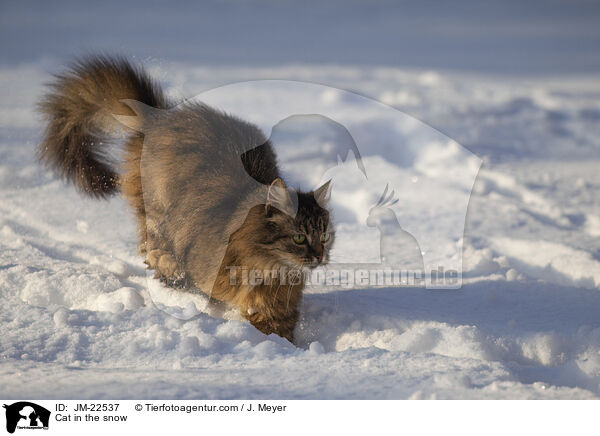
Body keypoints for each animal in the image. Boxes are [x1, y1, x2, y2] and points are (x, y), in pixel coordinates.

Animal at [38, 54, 332, 342]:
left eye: (325, 236)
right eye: (299, 237)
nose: (320, 256)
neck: (268, 269)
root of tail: (160, 117)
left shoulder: (276, 310)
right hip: (157, 208)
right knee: (153, 248)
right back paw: (170, 272)